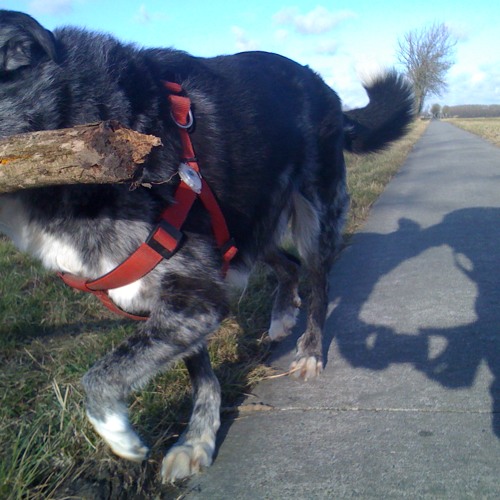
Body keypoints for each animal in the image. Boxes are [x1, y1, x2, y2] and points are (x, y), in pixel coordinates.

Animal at [0, 10, 414, 482]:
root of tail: (325, 88)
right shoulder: (176, 302)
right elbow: (200, 374)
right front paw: (196, 440)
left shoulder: (194, 297)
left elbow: (102, 375)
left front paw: (119, 433)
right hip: (248, 224)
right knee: (286, 263)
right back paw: (281, 316)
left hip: (314, 214)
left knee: (318, 284)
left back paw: (309, 350)